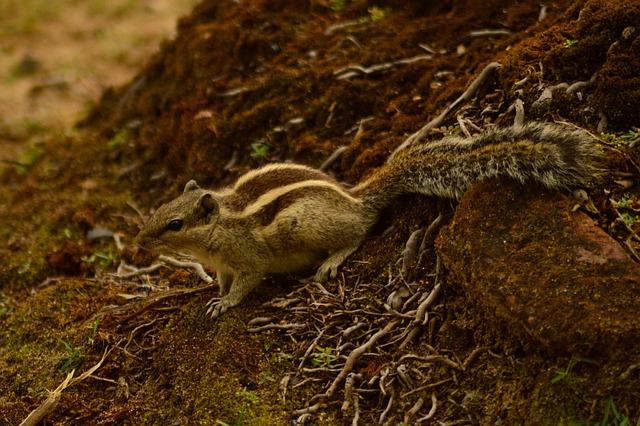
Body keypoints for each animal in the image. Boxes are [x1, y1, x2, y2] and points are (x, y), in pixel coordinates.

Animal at [134, 122, 600, 316]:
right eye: (161, 211)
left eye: (175, 224)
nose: (139, 242)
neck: (219, 229)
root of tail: (356, 199)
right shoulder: (223, 265)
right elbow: (224, 280)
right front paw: (214, 294)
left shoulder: (249, 258)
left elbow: (248, 281)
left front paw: (226, 303)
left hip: (308, 225)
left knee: (359, 233)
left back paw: (332, 259)